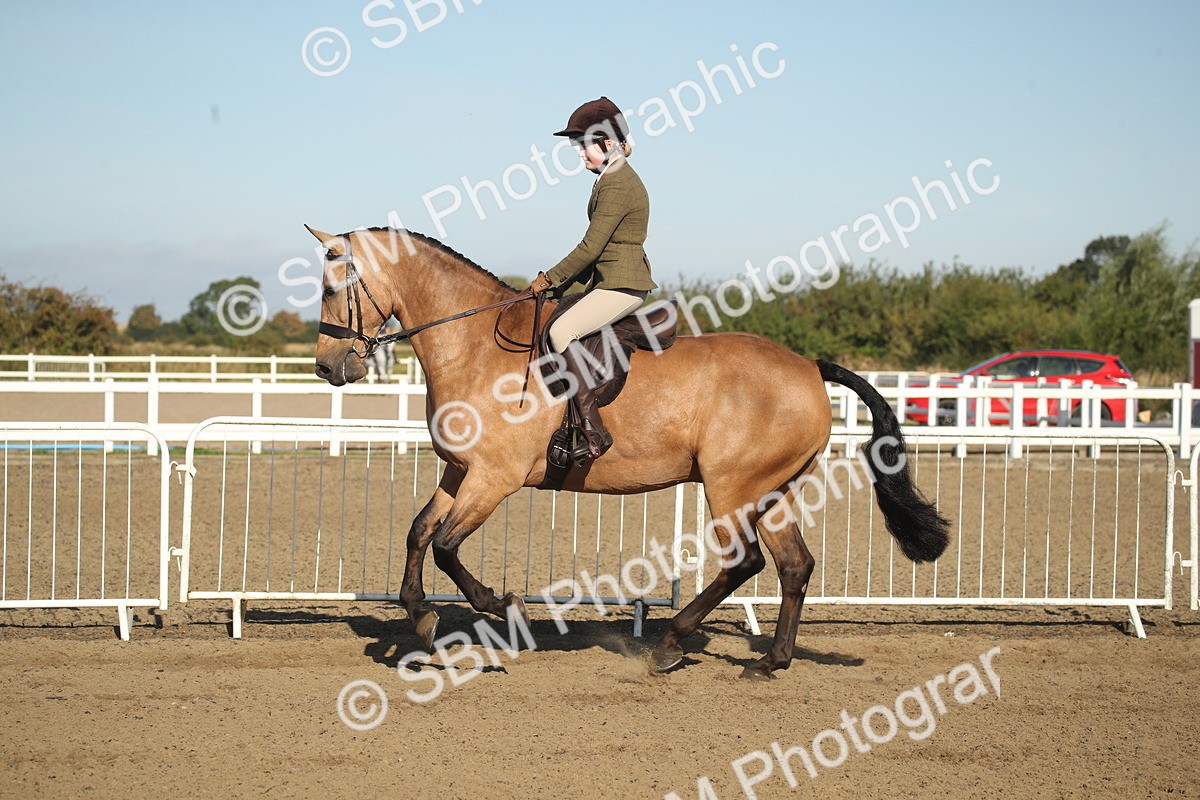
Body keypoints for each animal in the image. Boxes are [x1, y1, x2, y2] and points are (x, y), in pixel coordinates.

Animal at [309, 225, 950, 679]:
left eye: (331, 287)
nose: (328, 368)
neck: (475, 347)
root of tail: (809, 366)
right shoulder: (458, 470)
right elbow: (419, 533)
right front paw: (419, 617)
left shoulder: (493, 478)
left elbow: (445, 546)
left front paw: (504, 607)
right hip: (771, 491)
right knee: (794, 565)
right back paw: (771, 661)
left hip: (731, 487)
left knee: (745, 563)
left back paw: (669, 644)